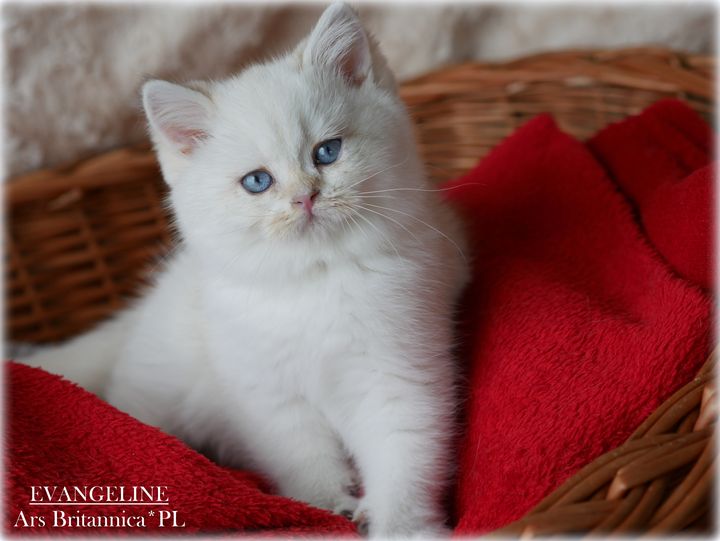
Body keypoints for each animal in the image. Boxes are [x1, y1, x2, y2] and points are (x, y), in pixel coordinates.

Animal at [23, 3, 469, 537]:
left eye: (327, 152)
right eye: (257, 181)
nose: (305, 197)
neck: (312, 276)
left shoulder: (399, 369)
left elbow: (405, 454)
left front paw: (401, 525)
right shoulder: (268, 395)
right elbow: (303, 456)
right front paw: (325, 508)